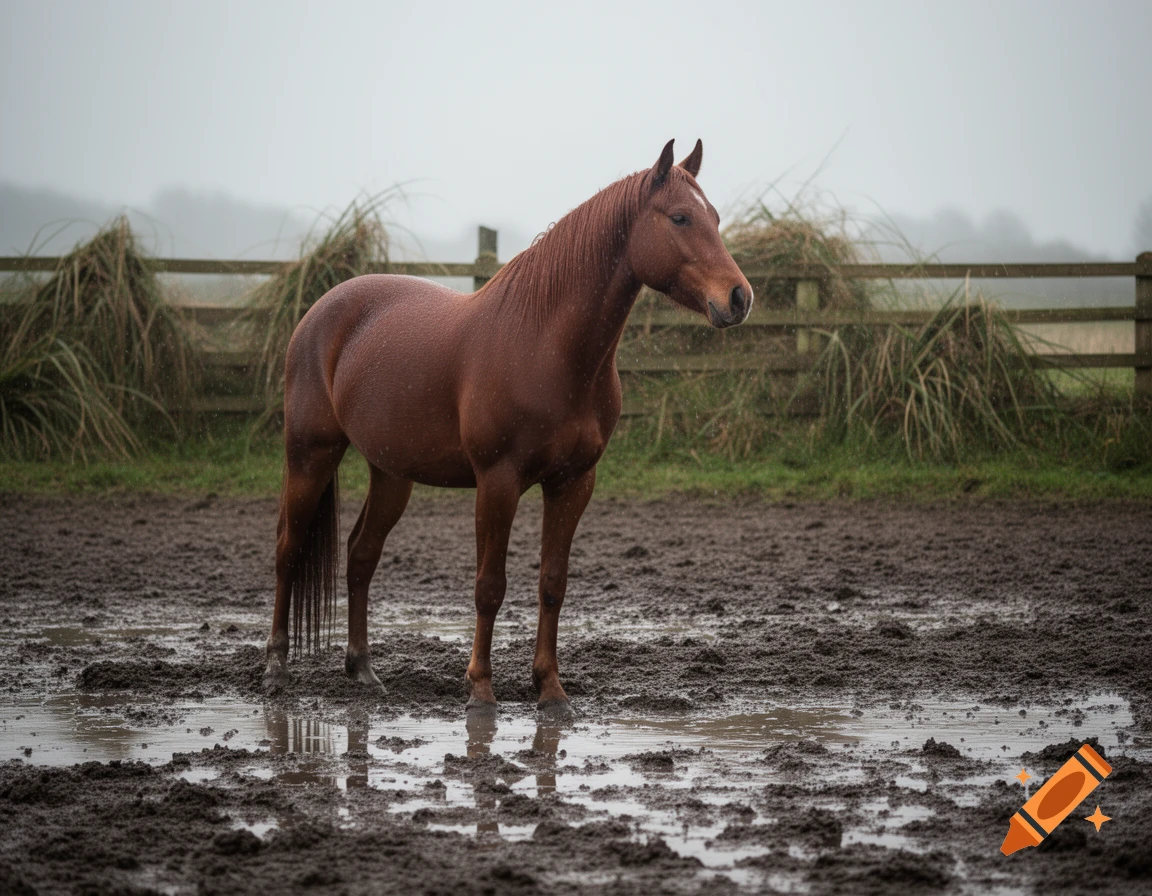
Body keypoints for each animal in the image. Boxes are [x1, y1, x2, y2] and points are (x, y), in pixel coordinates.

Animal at [263, 139, 753, 717]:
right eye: (679, 217)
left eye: (714, 217)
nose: (739, 298)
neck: (547, 346)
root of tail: (320, 312)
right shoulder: (497, 482)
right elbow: (489, 586)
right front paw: (480, 689)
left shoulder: (573, 483)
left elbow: (552, 584)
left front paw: (551, 689)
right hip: (310, 455)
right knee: (288, 549)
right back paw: (275, 669)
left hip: (392, 474)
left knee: (361, 555)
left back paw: (363, 670)